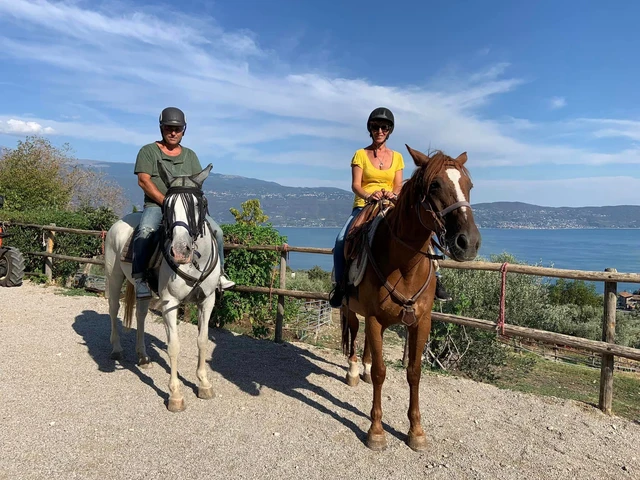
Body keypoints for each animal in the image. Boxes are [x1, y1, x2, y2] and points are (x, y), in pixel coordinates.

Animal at [104, 163, 221, 410]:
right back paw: (117, 349)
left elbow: (203, 340)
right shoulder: (170, 302)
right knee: (113, 310)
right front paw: (175, 395)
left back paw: (142, 356)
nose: (180, 251)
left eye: (199, 204)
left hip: (143, 289)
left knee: (140, 315)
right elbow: (173, 346)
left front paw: (204, 384)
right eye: (167, 205)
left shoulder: (207, 301)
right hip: (114, 277)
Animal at [342, 144, 478, 452]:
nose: (469, 243)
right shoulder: (375, 318)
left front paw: (416, 431)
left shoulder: (421, 321)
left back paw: (363, 368)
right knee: (354, 331)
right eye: (435, 185)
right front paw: (376, 431)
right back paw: (355, 371)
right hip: (350, 307)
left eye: (469, 185)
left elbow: (414, 372)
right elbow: (381, 373)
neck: (404, 264)